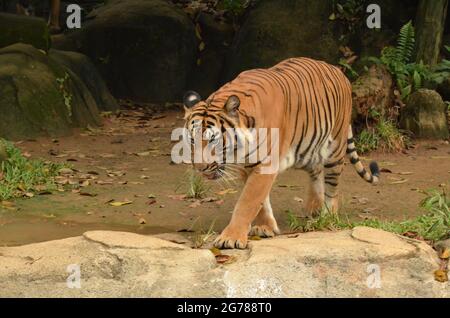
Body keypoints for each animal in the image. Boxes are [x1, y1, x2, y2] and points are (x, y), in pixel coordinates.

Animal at [183, 57, 380, 251]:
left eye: (213, 140)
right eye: (192, 140)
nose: (199, 168)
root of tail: (338, 70)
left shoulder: (264, 165)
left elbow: (247, 202)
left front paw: (230, 238)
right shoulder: (247, 167)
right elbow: (260, 202)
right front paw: (264, 227)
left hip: (335, 148)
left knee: (332, 185)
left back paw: (327, 215)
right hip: (305, 150)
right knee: (316, 170)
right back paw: (314, 208)